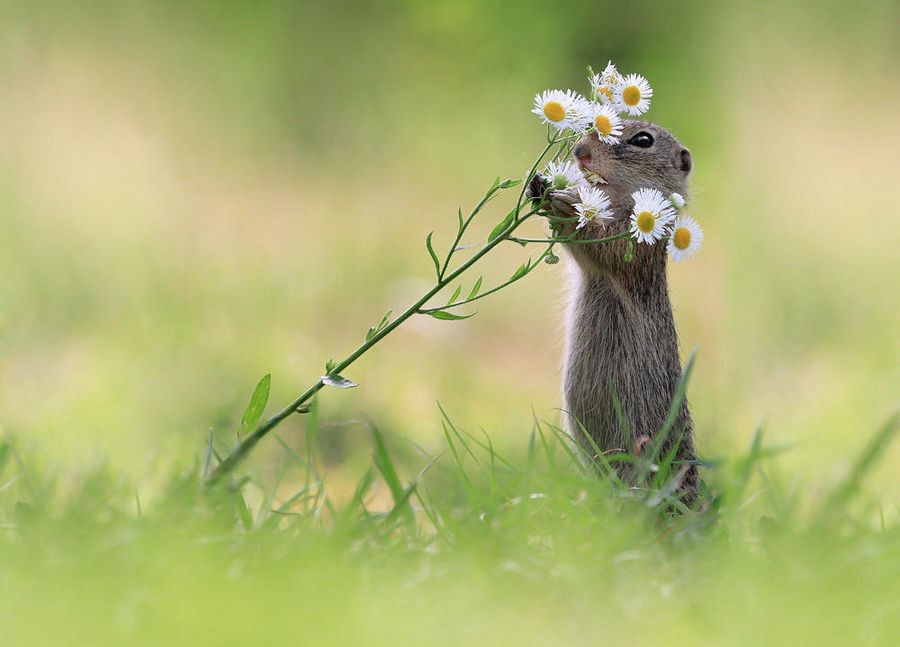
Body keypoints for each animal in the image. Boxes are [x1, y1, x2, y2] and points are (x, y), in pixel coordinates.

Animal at [532, 119, 700, 498]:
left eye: (643, 140)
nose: (580, 151)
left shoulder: (634, 246)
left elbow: (600, 244)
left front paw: (566, 204)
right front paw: (539, 186)